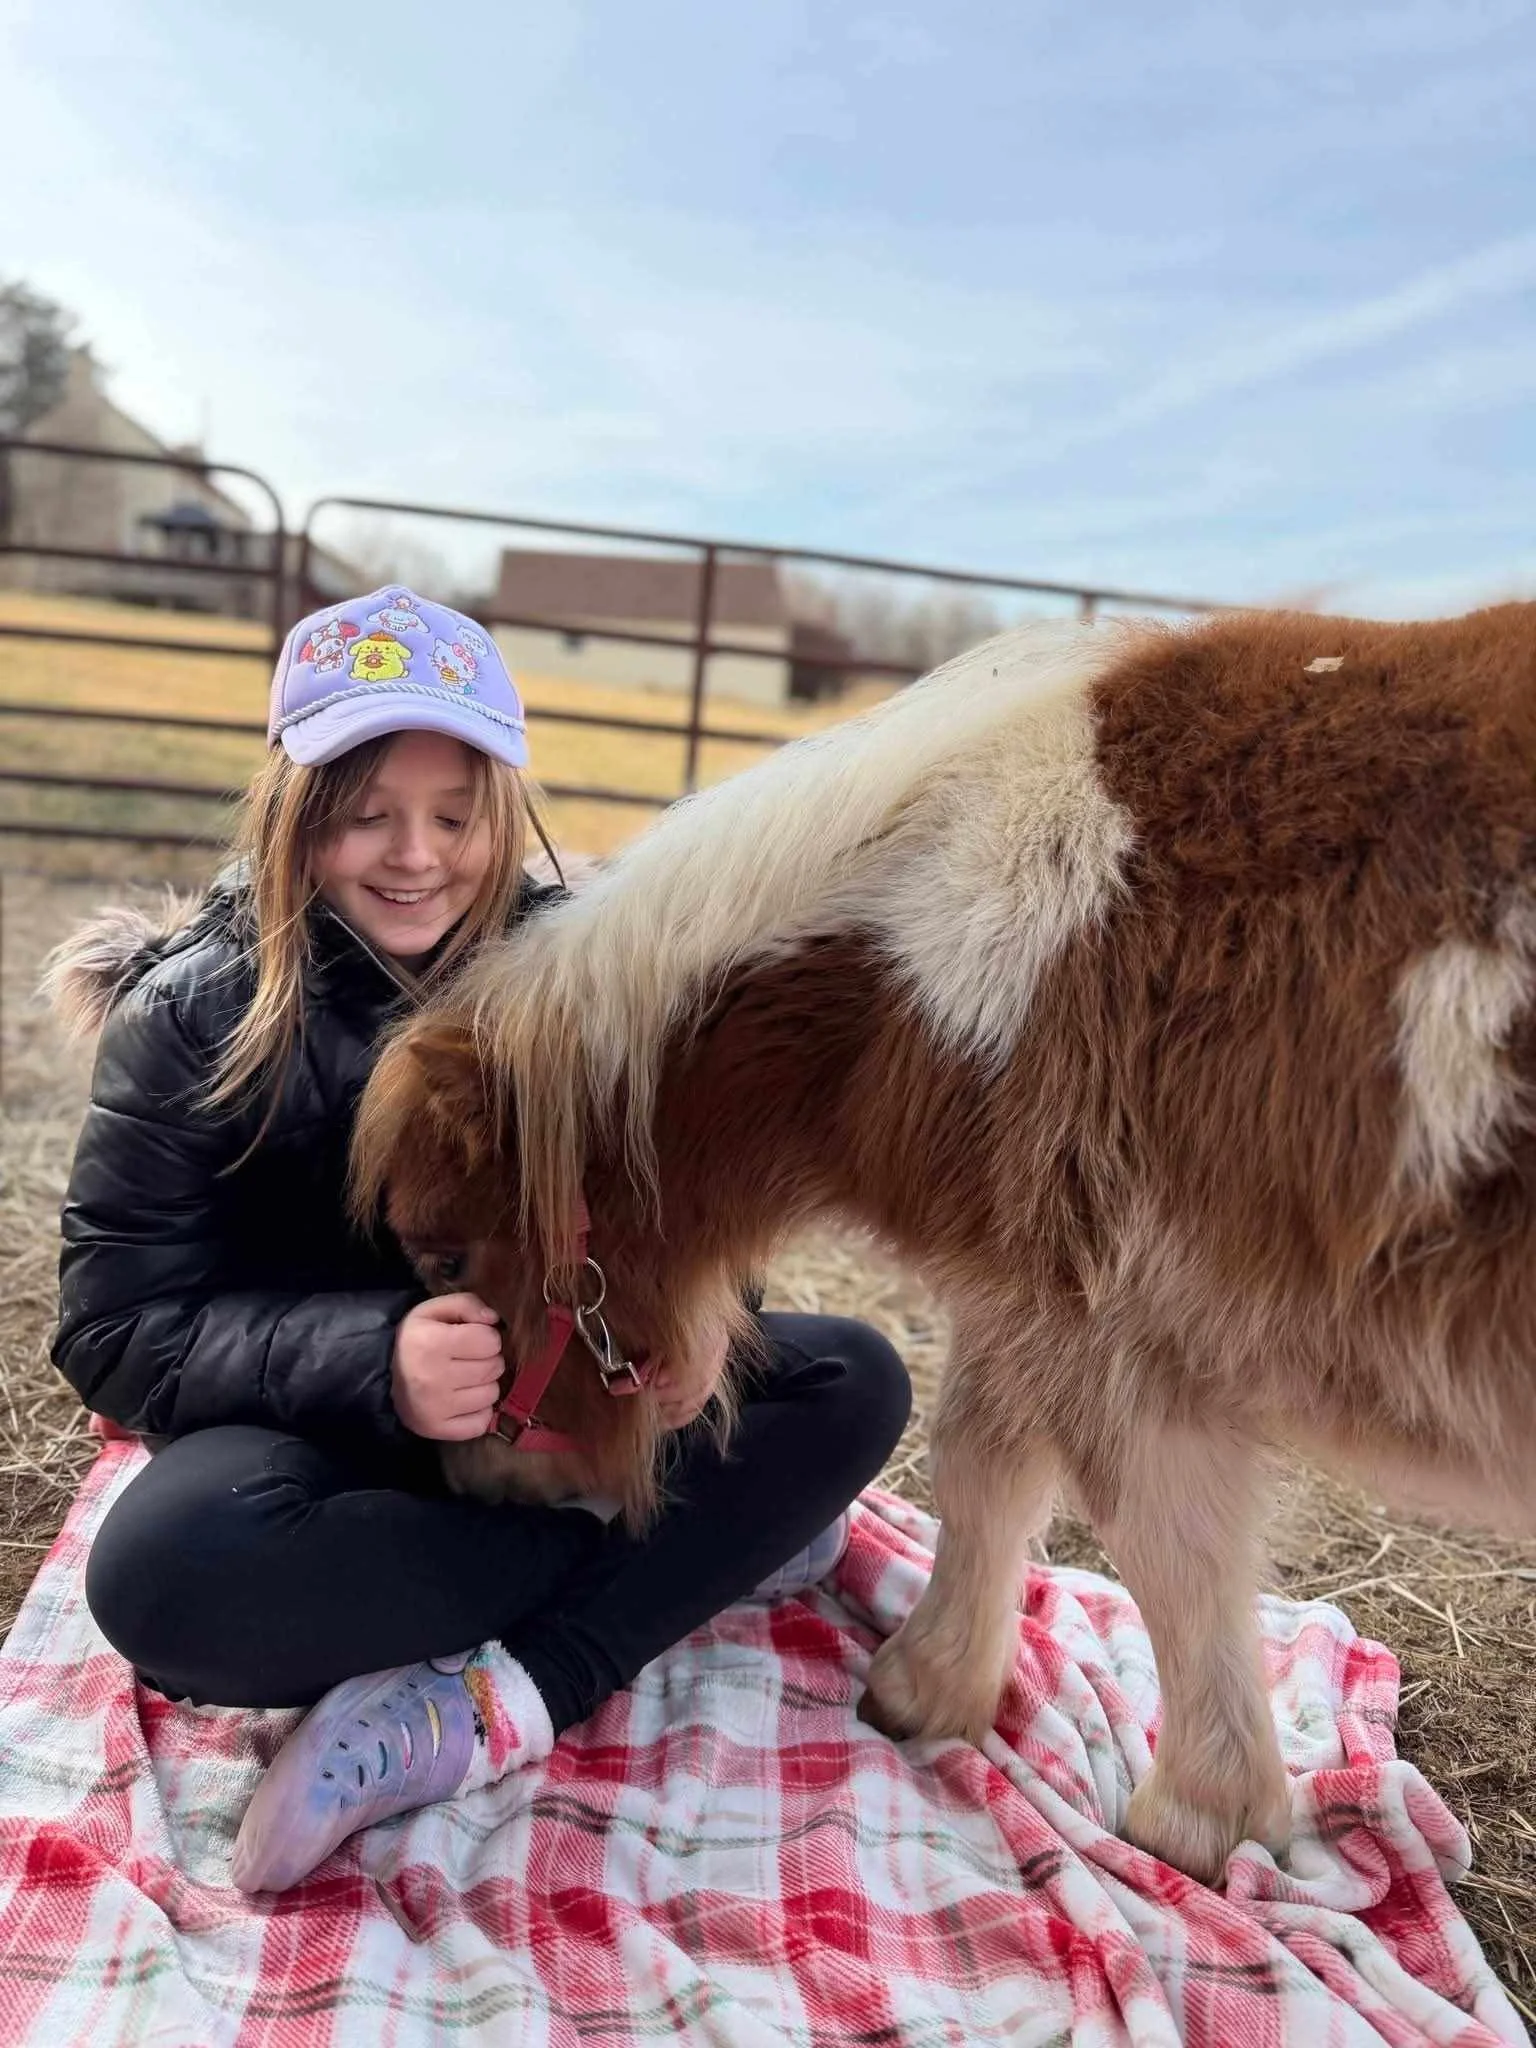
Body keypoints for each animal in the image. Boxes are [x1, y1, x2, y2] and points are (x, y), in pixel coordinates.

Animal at [351, 602, 1536, 1885]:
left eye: (449, 1258)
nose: (482, 1483)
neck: (939, 962)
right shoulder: (1032, 1293)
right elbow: (985, 1471)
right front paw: (933, 1690)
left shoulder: (1121, 1328)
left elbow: (1169, 1554)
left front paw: (1198, 1816)